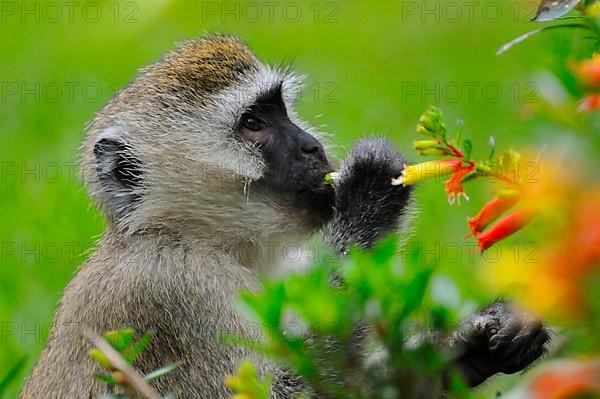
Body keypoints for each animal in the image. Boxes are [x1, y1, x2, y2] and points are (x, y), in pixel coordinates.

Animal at [21, 36, 548, 398]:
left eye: (281, 111)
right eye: (253, 123)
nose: (312, 147)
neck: (197, 239)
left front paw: (476, 341)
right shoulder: (172, 291)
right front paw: (369, 193)